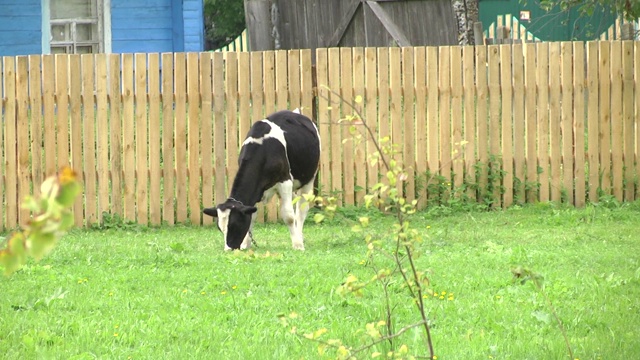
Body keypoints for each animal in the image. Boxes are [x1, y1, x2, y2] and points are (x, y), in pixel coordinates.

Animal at [202, 109, 320, 250]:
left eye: (235, 225)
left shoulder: (285, 181)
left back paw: (300, 238)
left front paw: (297, 245)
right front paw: (246, 244)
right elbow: (252, 215)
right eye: (220, 228)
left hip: (309, 179)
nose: (229, 250)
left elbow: (289, 216)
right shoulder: (257, 190)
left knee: (301, 210)